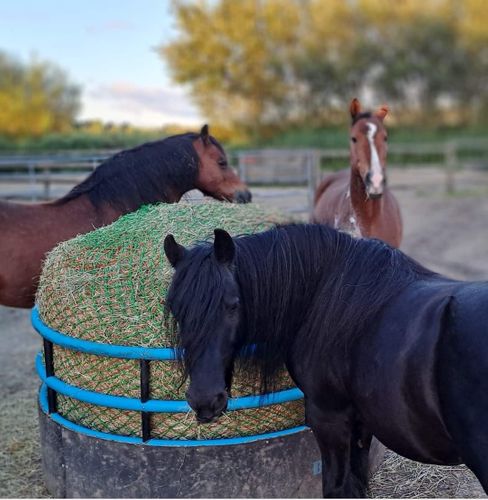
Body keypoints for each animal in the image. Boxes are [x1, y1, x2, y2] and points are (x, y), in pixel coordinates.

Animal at [163, 225, 488, 498]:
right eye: (177, 310)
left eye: (232, 305)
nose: (203, 400)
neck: (325, 293)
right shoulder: (360, 421)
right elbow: (357, 483)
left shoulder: (329, 419)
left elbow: (335, 487)